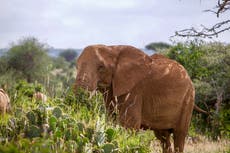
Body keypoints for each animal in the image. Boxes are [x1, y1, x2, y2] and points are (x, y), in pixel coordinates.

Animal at [75, 44, 207, 152]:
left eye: (101, 67)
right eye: (76, 66)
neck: (112, 48)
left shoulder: (134, 91)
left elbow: (129, 125)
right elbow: (112, 121)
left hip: (188, 99)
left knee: (179, 134)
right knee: (163, 136)